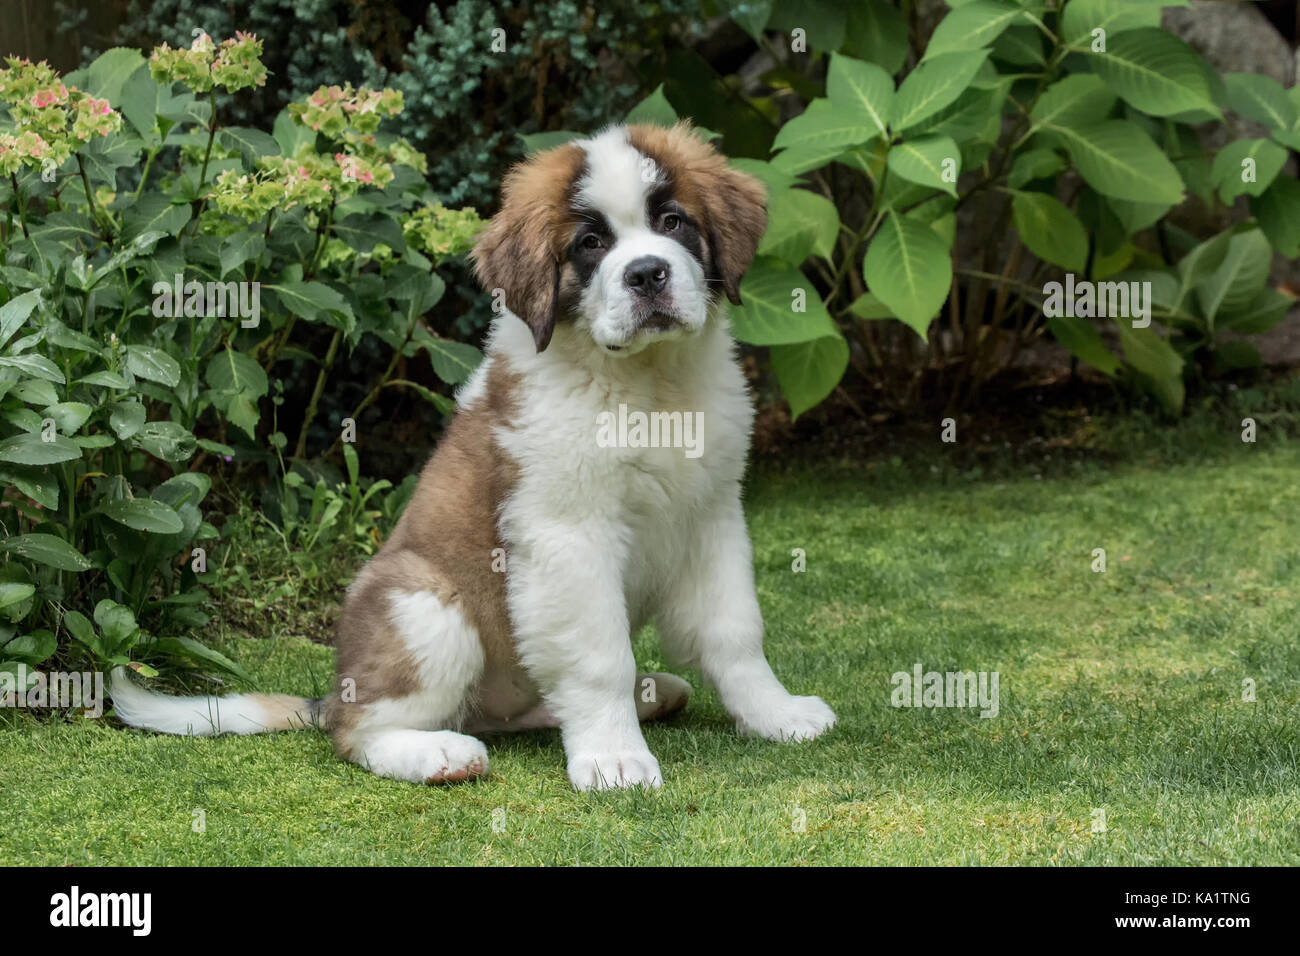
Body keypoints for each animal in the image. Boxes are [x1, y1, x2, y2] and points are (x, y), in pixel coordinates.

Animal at [116, 121, 837, 790]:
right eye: (591, 244)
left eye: (672, 222)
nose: (646, 273)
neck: (650, 383)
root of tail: (332, 693)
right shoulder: (568, 536)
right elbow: (600, 656)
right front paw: (614, 757)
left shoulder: (711, 515)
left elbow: (736, 632)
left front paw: (775, 715)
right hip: (423, 606)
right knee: (356, 731)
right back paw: (435, 754)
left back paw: (645, 697)